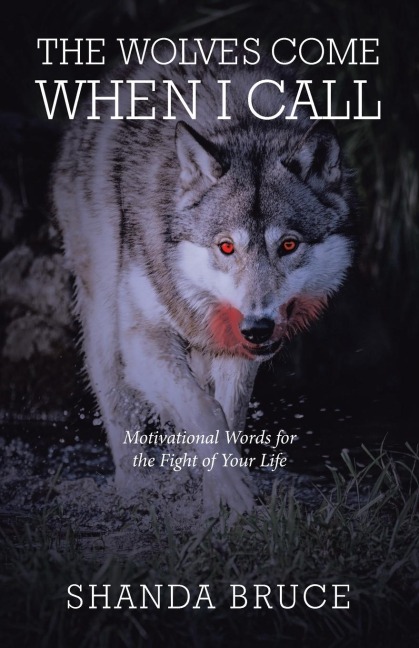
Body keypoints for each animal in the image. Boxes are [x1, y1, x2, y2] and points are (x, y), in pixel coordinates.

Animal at [52, 48, 355, 516]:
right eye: (226, 247)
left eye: (288, 245)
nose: (258, 327)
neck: (240, 123)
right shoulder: (141, 338)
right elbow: (203, 409)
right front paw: (232, 492)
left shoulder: (235, 349)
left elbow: (225, 414)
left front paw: (216, 495)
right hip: (104, 324)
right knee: (120, 405)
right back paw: (134, 488)